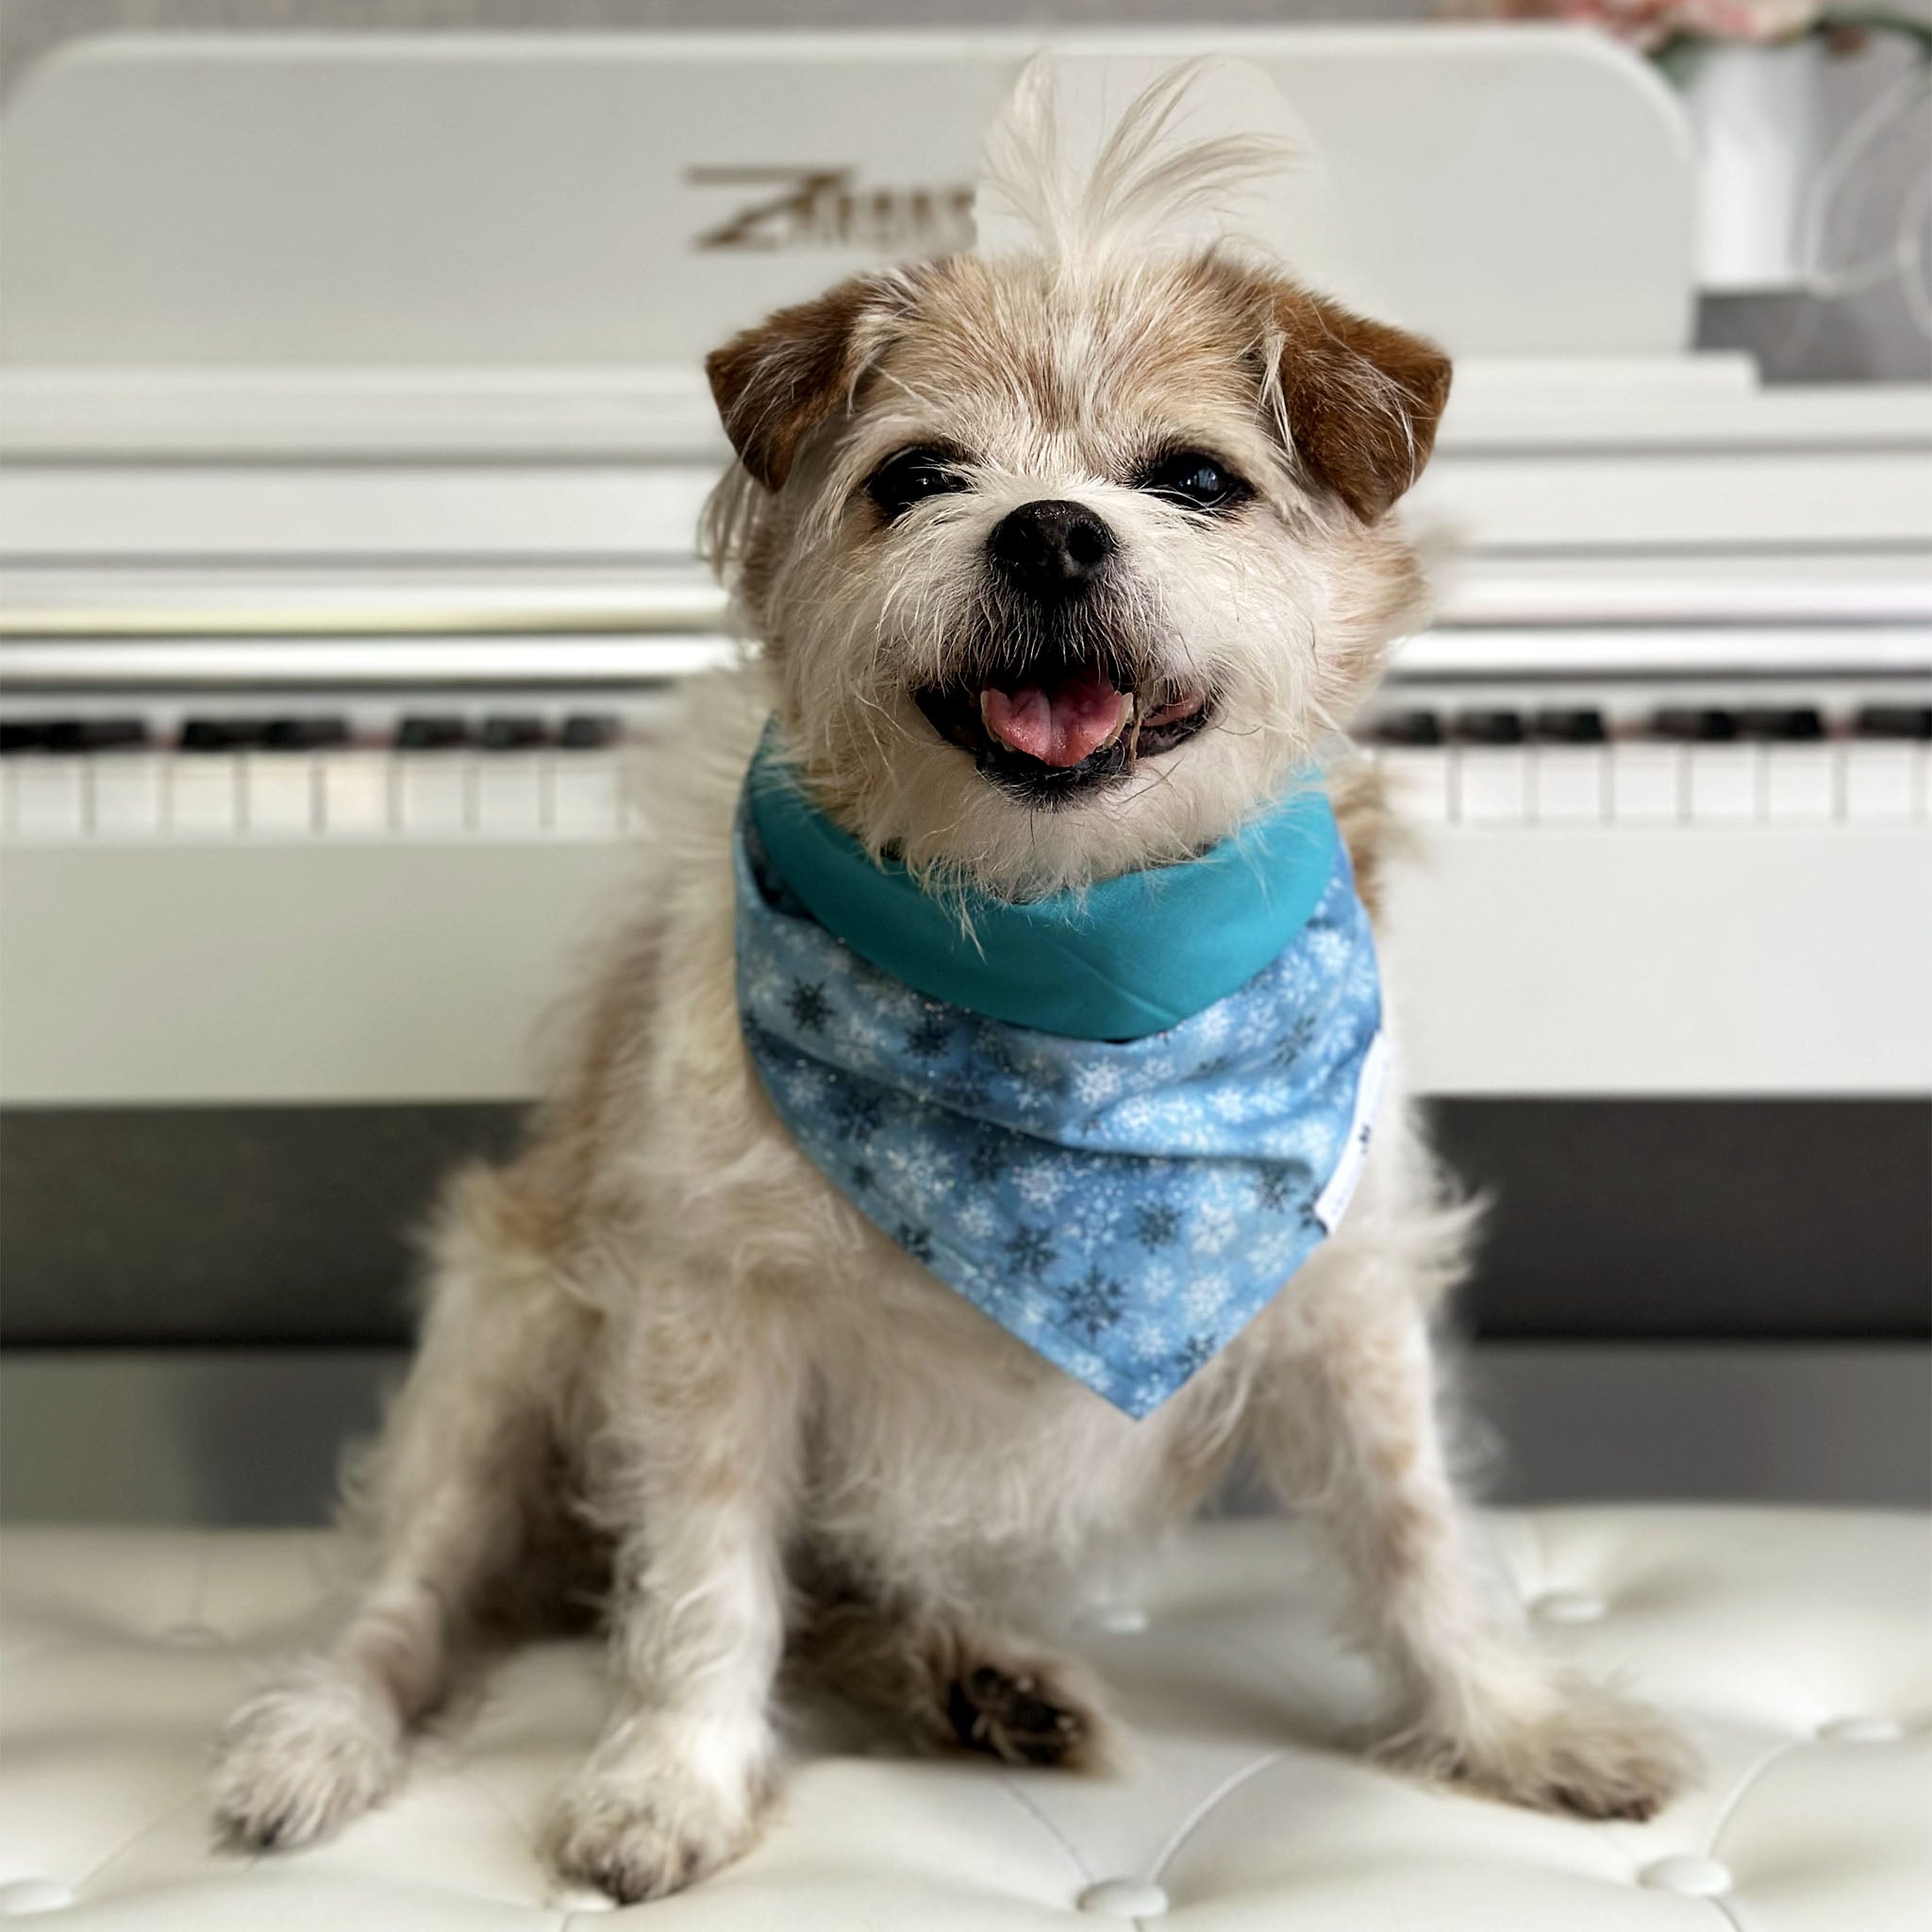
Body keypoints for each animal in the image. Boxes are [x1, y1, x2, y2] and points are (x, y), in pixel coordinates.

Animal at [215, 71, 1692, 1901]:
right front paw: (671, 1780)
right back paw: (320, 1735)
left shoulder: (1345, 1301)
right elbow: (706, 1573)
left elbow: (1419, 1535)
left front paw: (1513, 1722)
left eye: (1192, 479)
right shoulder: (709, 1321)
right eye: (919, 475)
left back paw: (970, 1677)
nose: (1051, 530)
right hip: (498, 1337)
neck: (1055, 955)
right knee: (408, 1590)